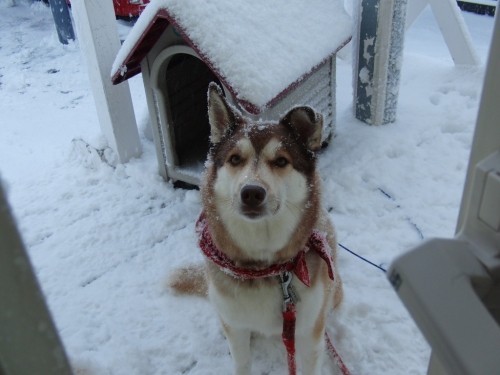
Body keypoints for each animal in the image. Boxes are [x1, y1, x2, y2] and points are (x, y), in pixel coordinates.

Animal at [170, 83, 342, 374]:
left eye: (281, 161)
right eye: (235, 159)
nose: (251, 193)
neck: (264, 268)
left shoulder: (309, 336)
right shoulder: (236, 329)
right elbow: (241, 362)